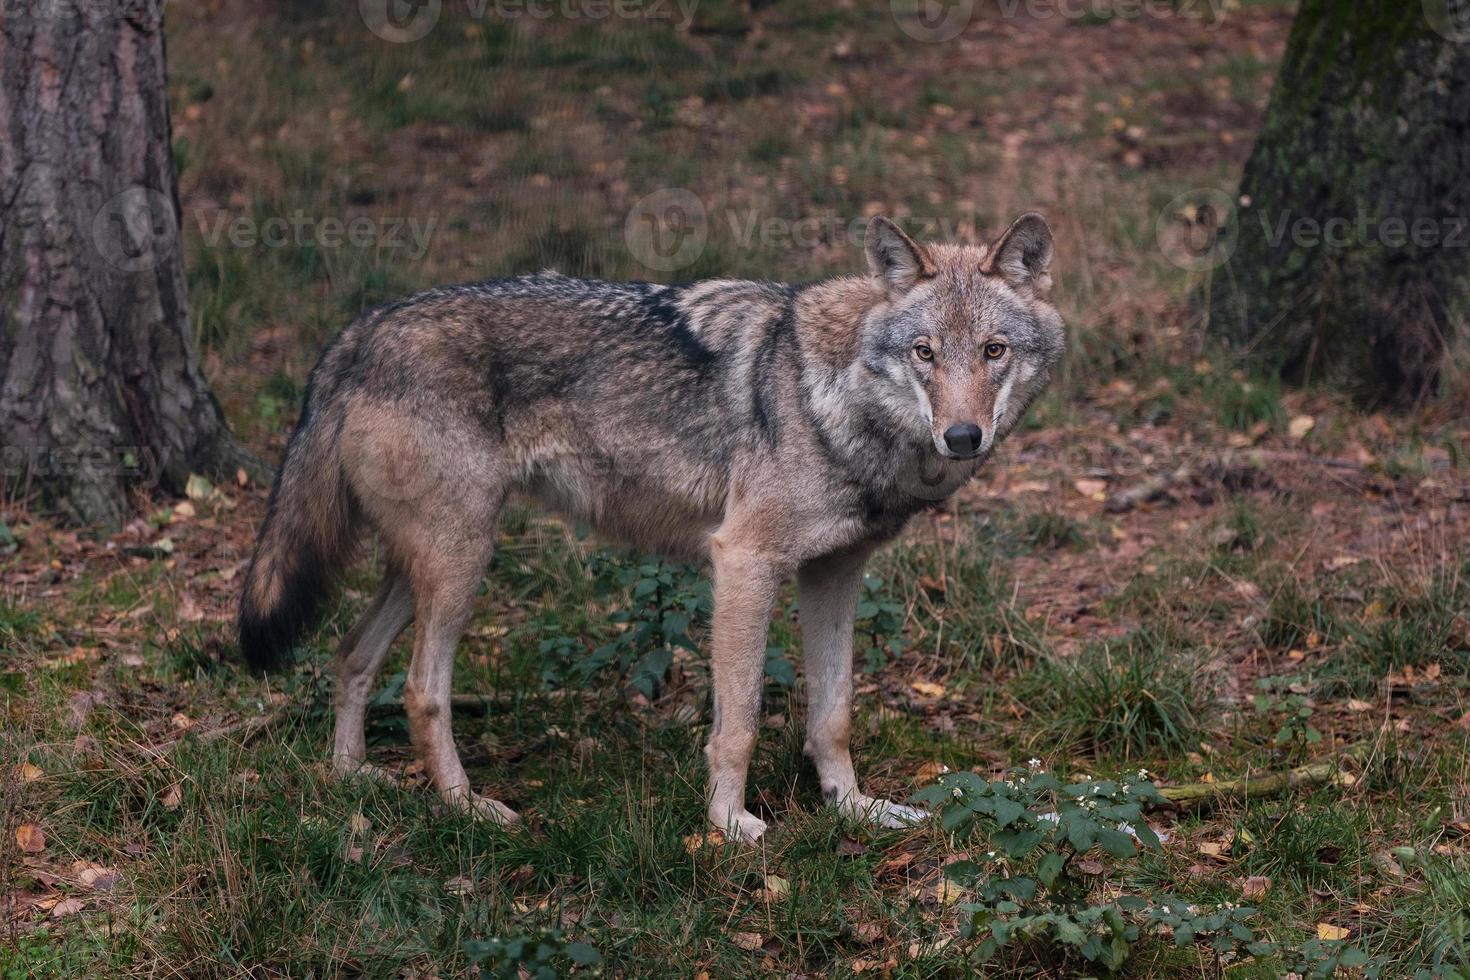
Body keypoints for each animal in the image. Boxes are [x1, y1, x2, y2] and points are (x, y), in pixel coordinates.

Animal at [241, 214, 1070, 846]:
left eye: (993, 351)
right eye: (924, 352)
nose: (962, 436)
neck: (829, 396)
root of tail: (359, 329)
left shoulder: (835, 574)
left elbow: (833, 714)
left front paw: (855, 809)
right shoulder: (743, 563)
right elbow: (739, 720)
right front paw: (729, 827)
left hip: (427, 565)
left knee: (351, 653)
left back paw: (352, 777)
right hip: (462, 562)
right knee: (420, 691)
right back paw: (465, 807)